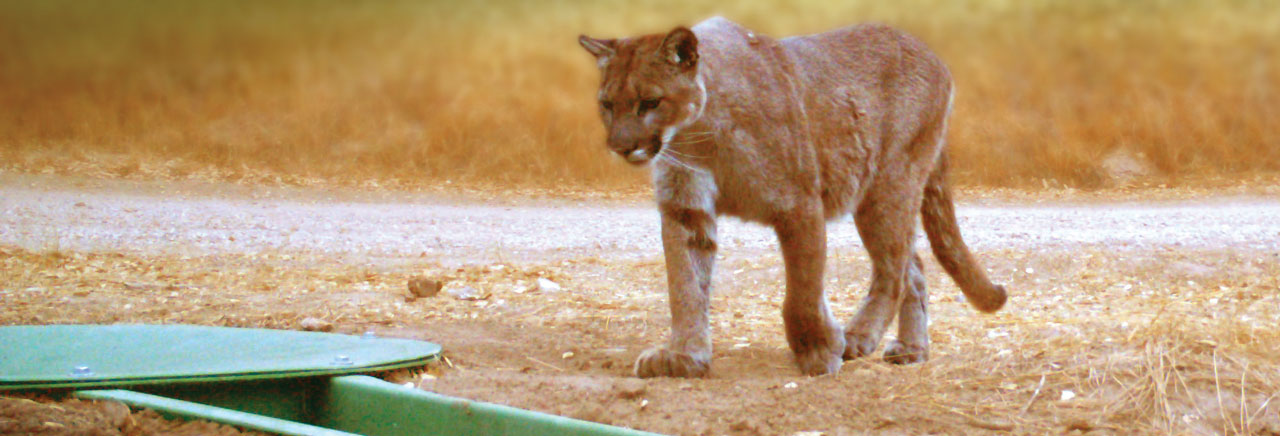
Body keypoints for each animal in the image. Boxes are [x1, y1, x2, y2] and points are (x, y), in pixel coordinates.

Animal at [578, 17, 1007, 378]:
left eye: (650, 102)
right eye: (607, 105)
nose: (620, 146)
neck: (698, 135)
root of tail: (931, 53)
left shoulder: (798, 205)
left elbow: (802, 290)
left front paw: (818, 350)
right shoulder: (685, 209)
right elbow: (685, 286)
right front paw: (684, 356)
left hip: (887, 186)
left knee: (895, 270)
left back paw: (859, 337)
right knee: (912, 266)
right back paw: (910, 349)